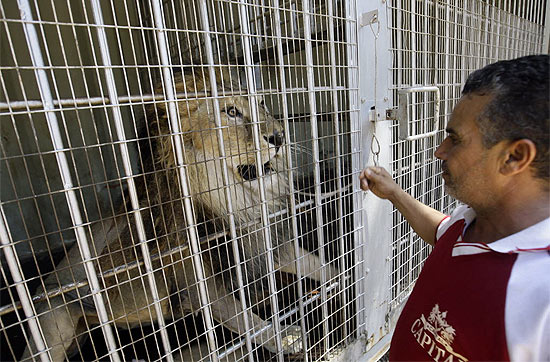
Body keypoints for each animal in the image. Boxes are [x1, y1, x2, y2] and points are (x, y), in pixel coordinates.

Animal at [22, 69, 340, 360]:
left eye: (261, 103)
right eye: (231, 111)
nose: (279, 137)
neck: (238, 201)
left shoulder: (266, 245)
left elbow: (317, 264)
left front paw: (346, 272)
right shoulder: (199, 285)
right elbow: (248, 320)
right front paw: (286, 337)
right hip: (54, 317)